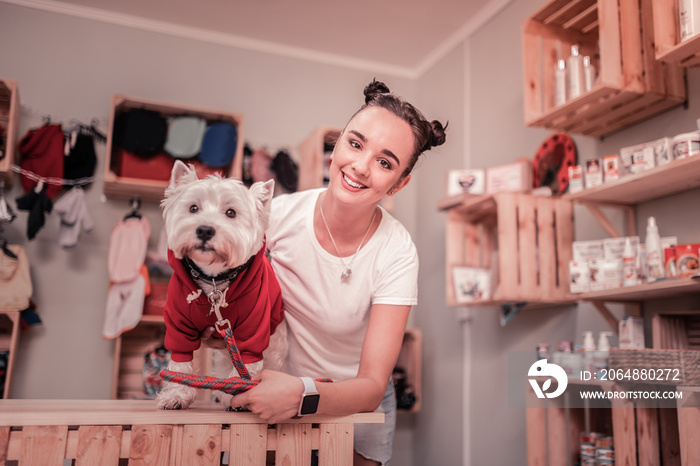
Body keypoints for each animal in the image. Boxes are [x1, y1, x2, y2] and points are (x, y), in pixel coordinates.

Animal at [157, 162, 286, 410]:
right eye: (193, 208)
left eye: (231, 213)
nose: (205, 230)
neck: (214, 280)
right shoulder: (178, 325)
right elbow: (179, 362)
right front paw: (176, 395)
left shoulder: (254, 328)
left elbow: (247, 362)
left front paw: (239, 395)